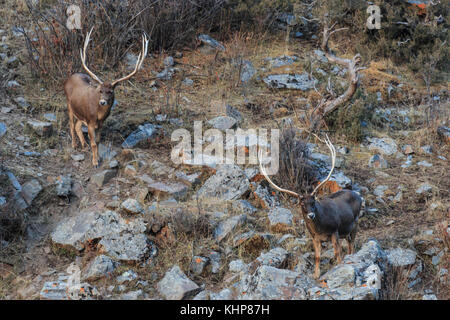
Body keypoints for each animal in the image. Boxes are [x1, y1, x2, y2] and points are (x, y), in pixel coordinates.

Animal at [64, 28, 149, 168]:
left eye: (110, 91)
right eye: (100, 90)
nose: (103, 102)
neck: (98, 115)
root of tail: (69, 78)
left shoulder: (100, 123)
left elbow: (98, 142)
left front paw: (98, 157)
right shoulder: (90, 121)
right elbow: (94, 143)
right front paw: (95, 162)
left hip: (81, 113)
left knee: (77, 125)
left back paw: (84, 145)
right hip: (68, 104)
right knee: (71, 124)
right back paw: (74, 145)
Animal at [260, 134, 362, 278]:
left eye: (313, 201)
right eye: (302, 203)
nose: (311, 215)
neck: (321, 228)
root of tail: (358, 195)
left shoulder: (334, 230)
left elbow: (337, 253)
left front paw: (339, 267)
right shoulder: (315, 238)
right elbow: (317, 257)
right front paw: (316, 275)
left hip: (355, 222)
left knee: (352, 244)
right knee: (348, 244)